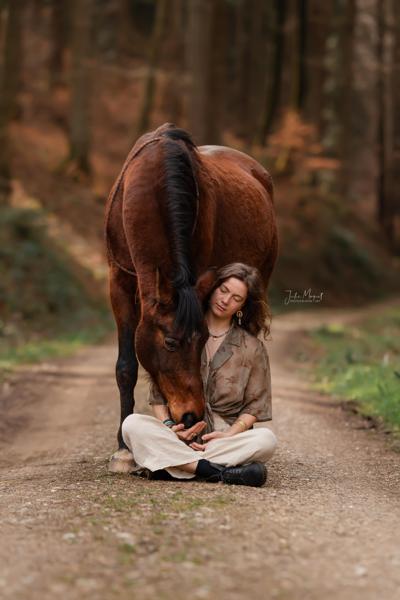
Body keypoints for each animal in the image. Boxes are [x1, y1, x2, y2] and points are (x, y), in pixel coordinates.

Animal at [104, 123, 276, 474]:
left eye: (204, 339)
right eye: (170, 342)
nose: (189, 415)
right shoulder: (119, 282)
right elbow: (127, 367)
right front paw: (123, 450)